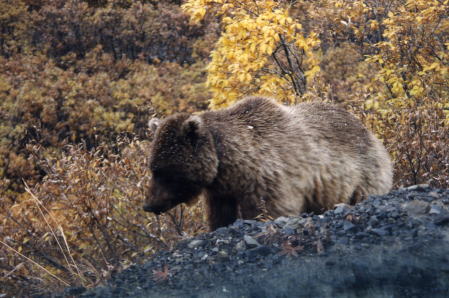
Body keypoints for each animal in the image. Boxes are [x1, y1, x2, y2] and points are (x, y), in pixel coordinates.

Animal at [144, 97, 392, 230]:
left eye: (163, 171)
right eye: (153, 168)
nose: (149, 205)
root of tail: (369, 131)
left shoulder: (268, 176)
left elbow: (270, 210)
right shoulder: (221, 190)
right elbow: (221, 216)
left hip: (364, 172)